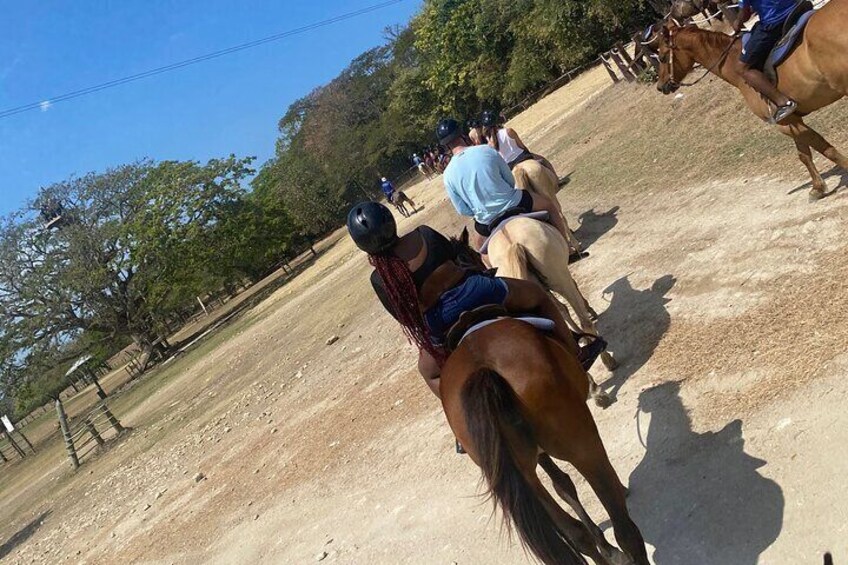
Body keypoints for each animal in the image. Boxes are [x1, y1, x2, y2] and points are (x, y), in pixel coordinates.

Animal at [438, 320, 648, 560]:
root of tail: (484, 370)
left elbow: (563, 485)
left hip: (520, 480)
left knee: (576, 533)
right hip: (582, 445)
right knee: (624, 530)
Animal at [656, 0, 848, 202]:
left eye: (662, 57)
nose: (661, 86)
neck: (733, 62)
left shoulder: (784, 124)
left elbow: (825, 149)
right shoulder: (792, 121)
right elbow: (804, 154)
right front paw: (817, 188)